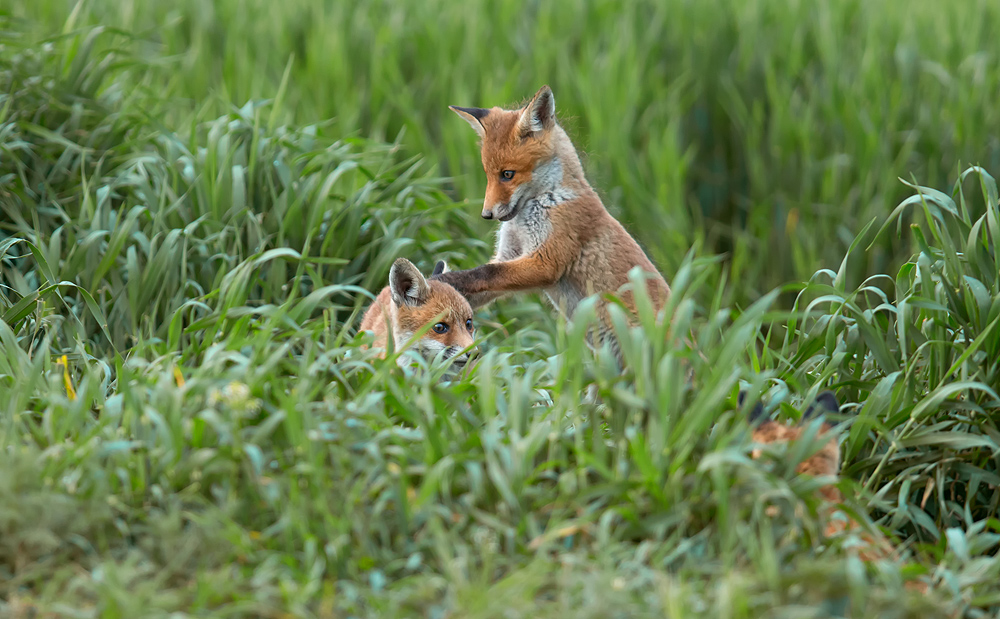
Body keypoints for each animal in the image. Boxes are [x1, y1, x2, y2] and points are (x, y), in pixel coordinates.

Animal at [434, 85, 670, 364]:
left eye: (508, 174)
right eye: (488, 174)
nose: (486, 214)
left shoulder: (546, 262)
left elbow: (484, 272)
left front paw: (445, 279)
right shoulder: (510, 254)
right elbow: (479, 282)